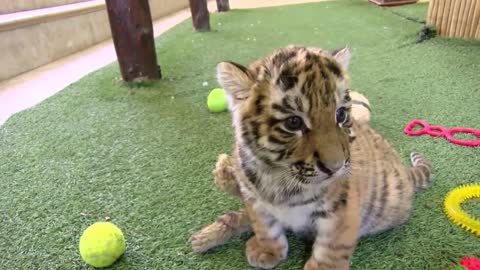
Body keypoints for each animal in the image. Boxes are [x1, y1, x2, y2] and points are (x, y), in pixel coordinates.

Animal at [193, 45, 434, 268]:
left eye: (340, 114)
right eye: (293, 122)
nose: (336, 168)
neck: (278, 176)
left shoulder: (342, 206)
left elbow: (331, 247)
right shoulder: (254, 198)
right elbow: (265, 227)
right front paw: (267, 250)